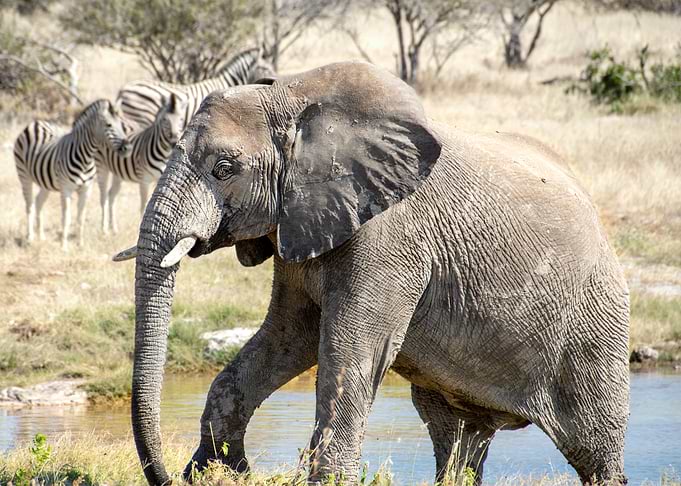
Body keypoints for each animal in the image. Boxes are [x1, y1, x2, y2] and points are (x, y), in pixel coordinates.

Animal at [115, 61, 630, 485]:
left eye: (224, 168)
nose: (164, 478)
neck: (296, 96)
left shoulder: (391, 237)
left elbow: (346, 351)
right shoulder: (300, 221)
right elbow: (285, 337)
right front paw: (214, 472)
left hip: (596, 319)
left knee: (595, 445)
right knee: (457, 439)